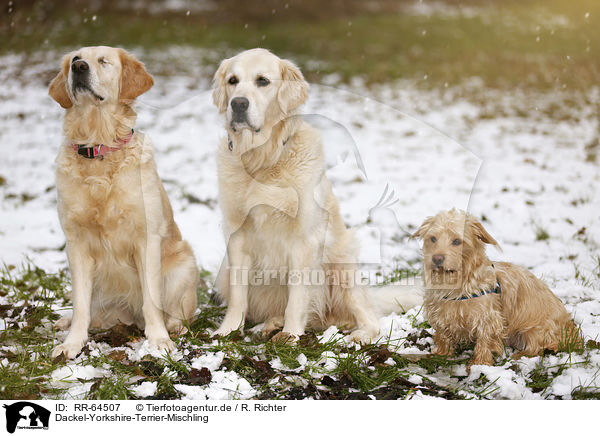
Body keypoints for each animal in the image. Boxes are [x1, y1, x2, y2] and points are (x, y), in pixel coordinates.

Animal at [412, 209, 580, 370]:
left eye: (457, 241)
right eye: (433, 239)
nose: (437, 258)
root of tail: (572, 332)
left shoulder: (488, 319)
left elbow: (484, 341)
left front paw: (479, 364)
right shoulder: (440, 315)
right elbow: (443, 336)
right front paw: (441, 355)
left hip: (534, 330)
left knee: (538, 347)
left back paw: (522, 355)